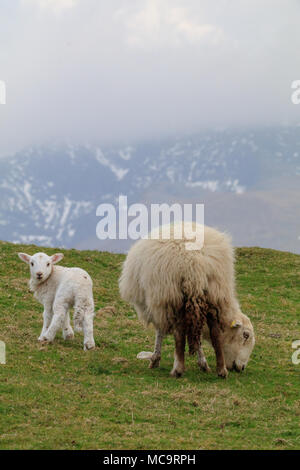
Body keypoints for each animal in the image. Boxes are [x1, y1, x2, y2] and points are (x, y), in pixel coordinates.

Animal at [118, 222, 254, 380]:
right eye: (245, 335)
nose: (241, 368)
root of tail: (193, 262)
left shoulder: (157, 303)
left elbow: (160, 331)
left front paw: (155, 359)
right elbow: (197, 335)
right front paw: (203, 363)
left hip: (172, 293)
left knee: (179, 331)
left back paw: (178, 368)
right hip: (214, 290)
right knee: (215, 332)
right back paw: (221, 370)